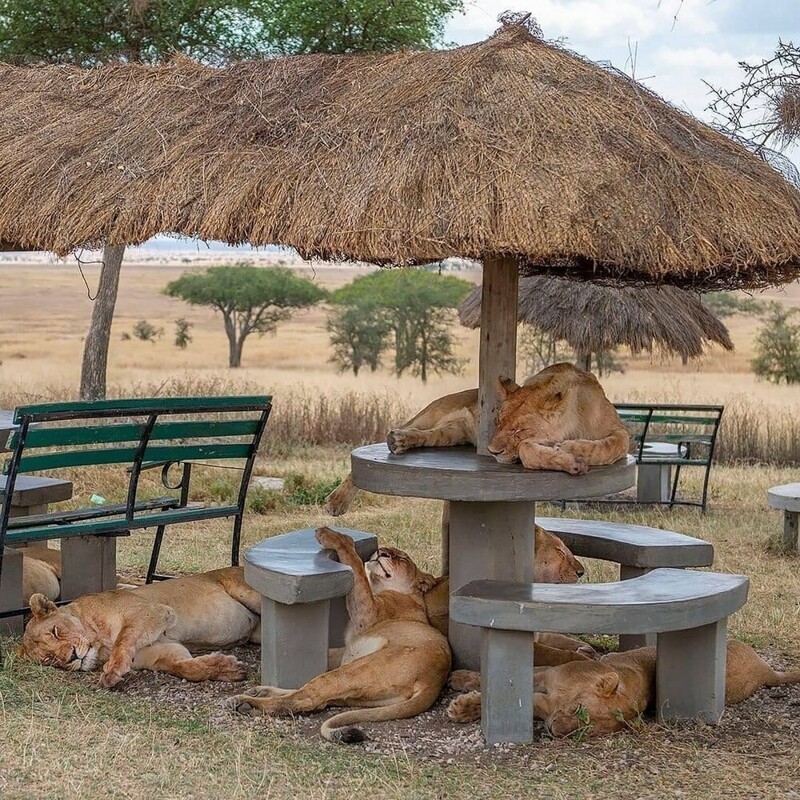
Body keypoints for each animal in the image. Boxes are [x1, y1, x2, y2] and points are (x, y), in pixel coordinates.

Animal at [20, 564, 260, 688]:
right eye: (49, 660)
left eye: (56, 632)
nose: (70, 658)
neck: (100, 646)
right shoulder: (163, 651)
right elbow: (183, 667)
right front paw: (226, 667)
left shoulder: (151, 612)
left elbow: (123, 640)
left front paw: (112, 672)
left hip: (250, 594)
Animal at [225, 528, 454, 748]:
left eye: (403, 558)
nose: (381, 552)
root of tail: (432, 682)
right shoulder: (347, 643)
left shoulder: (367, 613)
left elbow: (357, 567)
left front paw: (337, 537)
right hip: (360, 689)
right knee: (316, 696)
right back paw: (260, 692)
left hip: (356, 670)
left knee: (307, 698)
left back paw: (247, 703)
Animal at [322, 360, 628, 516]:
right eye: (498, 421)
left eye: (517, 430)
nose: (491, 451)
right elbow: (527, 451)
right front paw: (571, 459)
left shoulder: (621, 430)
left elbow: (611, 445)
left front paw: (575, 450)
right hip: (432, 412)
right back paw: (338, 500)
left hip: (452, 432)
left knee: (431, 436)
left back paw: (401, 442)